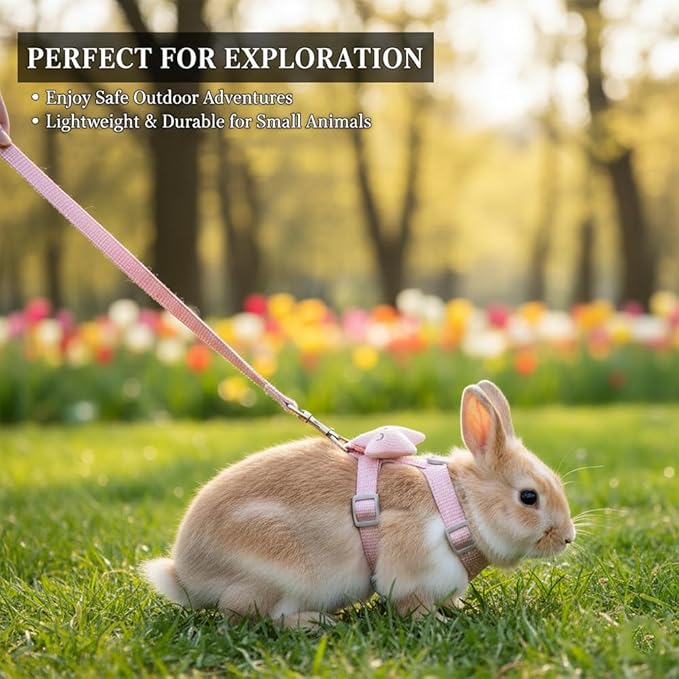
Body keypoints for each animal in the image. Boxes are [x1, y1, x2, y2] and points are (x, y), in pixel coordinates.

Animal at [141, 380, 575, 627]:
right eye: (529, 497)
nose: (568, 537)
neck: (460, 506)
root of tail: (185, 575)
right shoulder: (410, 570)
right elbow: (412, 604)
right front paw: (438, 622)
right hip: (276, 575)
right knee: (249, 616)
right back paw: (316, 623)